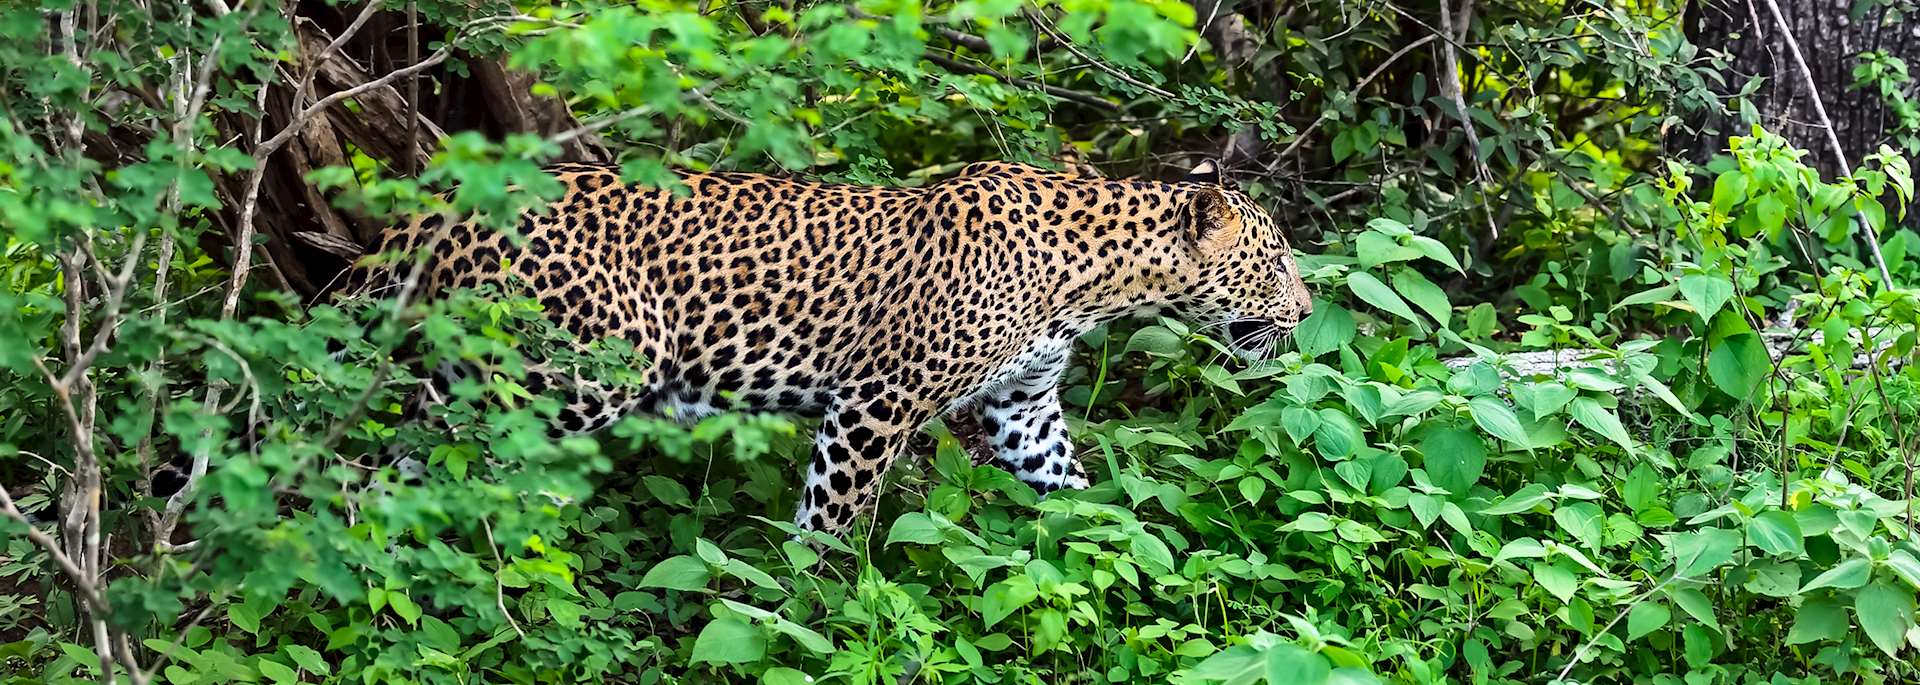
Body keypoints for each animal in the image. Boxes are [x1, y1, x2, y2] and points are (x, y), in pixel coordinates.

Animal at [336, 159, 1313, 534]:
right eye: (1275, 261)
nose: (1307, 312)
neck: (1094, 281)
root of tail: (443, 202)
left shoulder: (1026, 405)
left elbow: (1072, 494)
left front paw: (1120, 553)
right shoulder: (877, 401)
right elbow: (834, 518)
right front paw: (813, 599)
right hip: (565, 376)